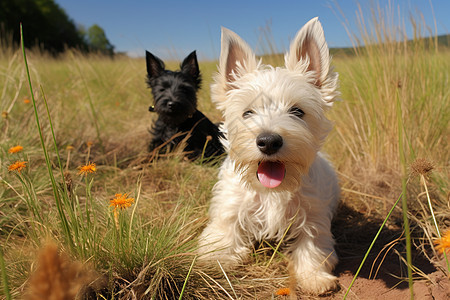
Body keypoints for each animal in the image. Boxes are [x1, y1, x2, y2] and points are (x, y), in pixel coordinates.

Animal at [199, 17, 340, 294]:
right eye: (247, 112)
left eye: (297, 111)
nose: (268, 141)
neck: (271, 191)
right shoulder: (229, 208)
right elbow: (223, 233)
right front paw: (215, 259)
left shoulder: (313, 216)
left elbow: (312, 246)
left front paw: (314, 277)